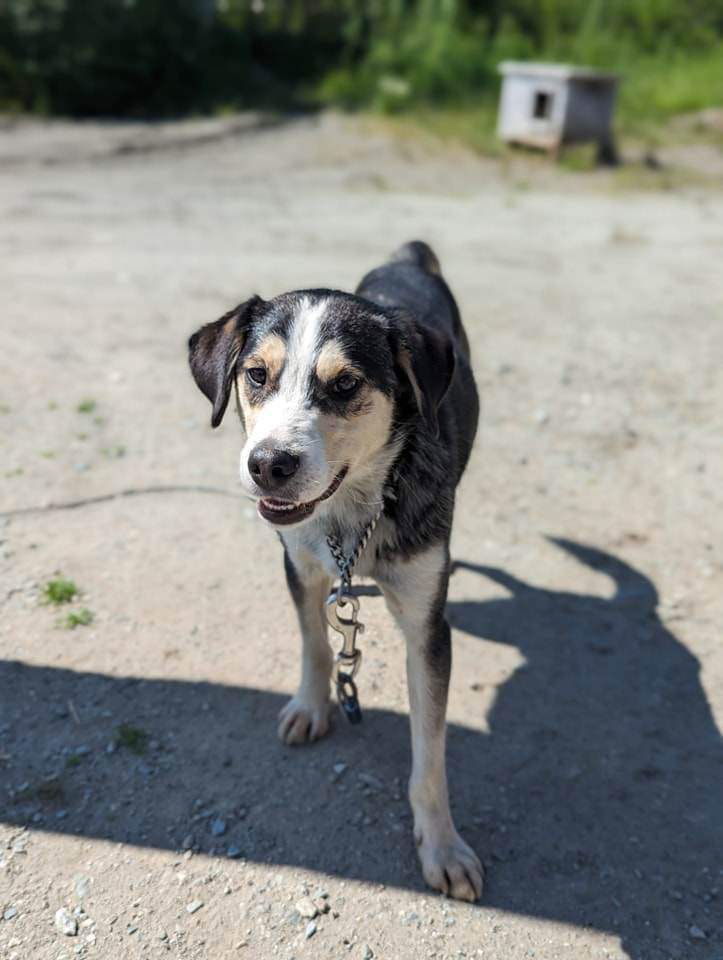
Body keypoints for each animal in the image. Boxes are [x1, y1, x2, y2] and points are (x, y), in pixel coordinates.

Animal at [187, 240, 484, 900]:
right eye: (256, 375)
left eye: (345, 384)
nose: (267, 464)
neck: (355, 518)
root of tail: (409, 257)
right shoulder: (300, 566)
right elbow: (317, 643)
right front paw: (311, 706)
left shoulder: (429, 627)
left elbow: (429, 754)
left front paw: (443, 847)